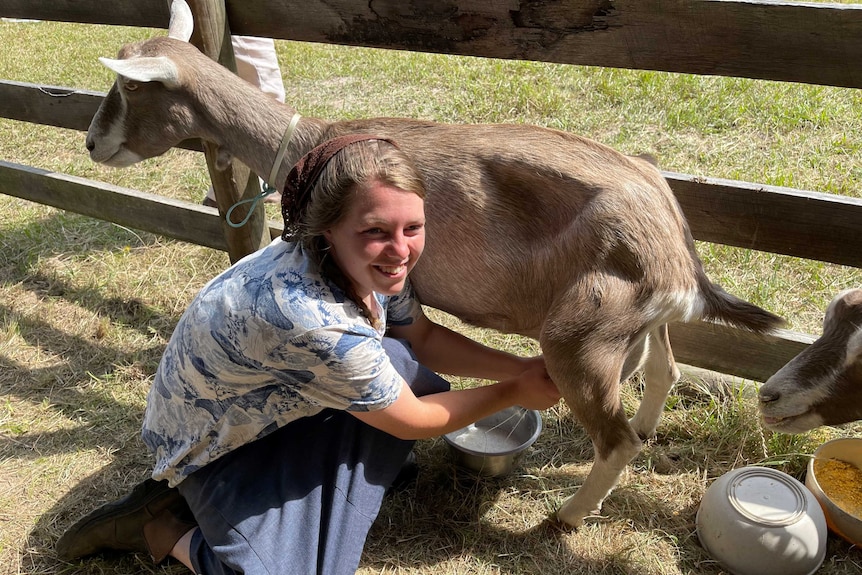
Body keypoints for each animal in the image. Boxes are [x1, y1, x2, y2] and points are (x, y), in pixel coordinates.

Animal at [84, 0, 788, 528]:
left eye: (128, 85)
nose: (92, 142)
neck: (313, 146)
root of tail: (677, 252)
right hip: (637, 322)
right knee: (665, 371)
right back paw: (639, 434)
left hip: (583, 337)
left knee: (614, 438)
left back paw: (566, 516)